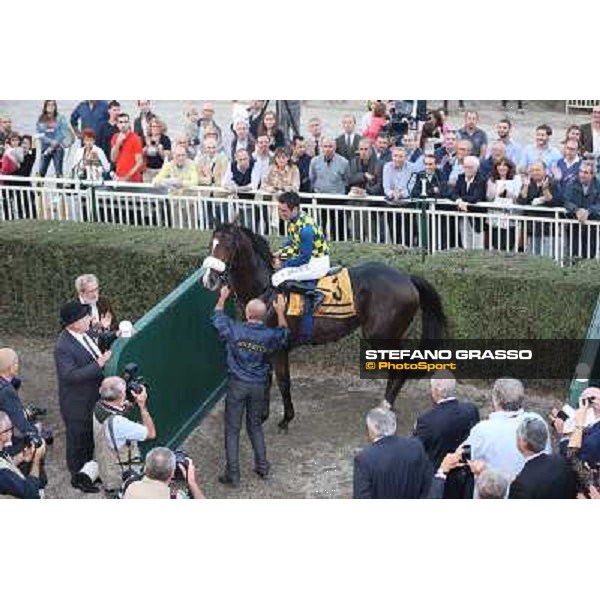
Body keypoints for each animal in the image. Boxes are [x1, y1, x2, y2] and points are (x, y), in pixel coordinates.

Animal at [202, 223, 446, 428]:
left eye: (227, 245)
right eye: (211, 244)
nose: (209, 279)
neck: (264, 290)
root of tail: (406, 278)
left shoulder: (280, 349)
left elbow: (283, 382)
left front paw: (286, 418)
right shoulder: (263, 346)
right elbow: (265, 380)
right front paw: (262, 415)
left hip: (382, 336)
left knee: (400, 367)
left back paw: (385, 406)